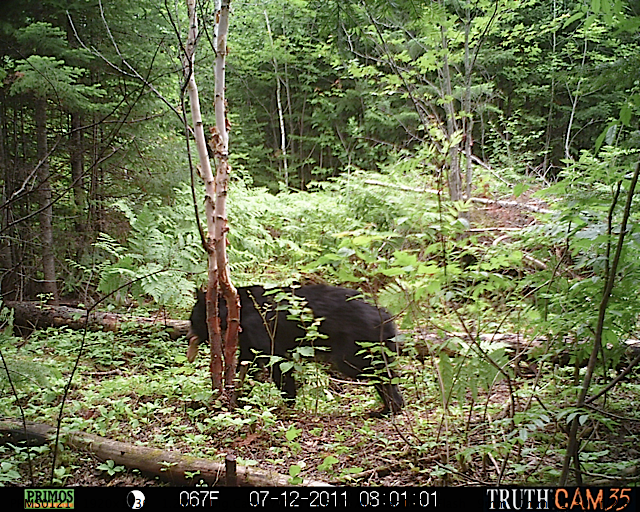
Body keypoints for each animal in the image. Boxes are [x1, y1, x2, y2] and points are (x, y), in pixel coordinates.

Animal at [188, 284, 402, 416]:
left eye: (193, 319)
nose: (189, 335)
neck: (237, 309)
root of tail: (387, 317)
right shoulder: (249, 340)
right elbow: (247, 365)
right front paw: (239, 398)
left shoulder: (261, 328)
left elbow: (277, 364)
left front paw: (288, 402)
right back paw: (388, 408)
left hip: (356, 347)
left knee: (376, 371)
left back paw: (392, 407)